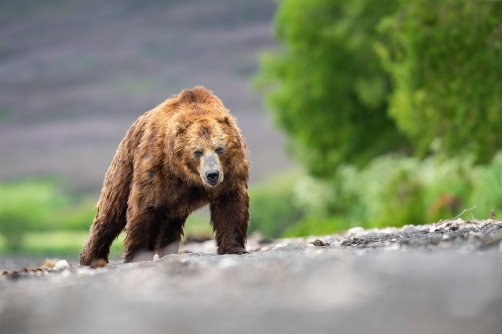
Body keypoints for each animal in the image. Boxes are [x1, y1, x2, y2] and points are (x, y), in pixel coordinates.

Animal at [79, 87, 250, 264]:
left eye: (219, 148)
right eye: (197, 151)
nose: (212, 174)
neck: (186, 175)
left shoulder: (230, 174)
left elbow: (230, 205)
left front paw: (234, 248)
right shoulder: (156, 166)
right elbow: (144, 207)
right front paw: (138, 255)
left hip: (176, 201)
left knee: (171, 222)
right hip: (125, 164)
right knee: (111, 211)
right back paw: (90, 257)